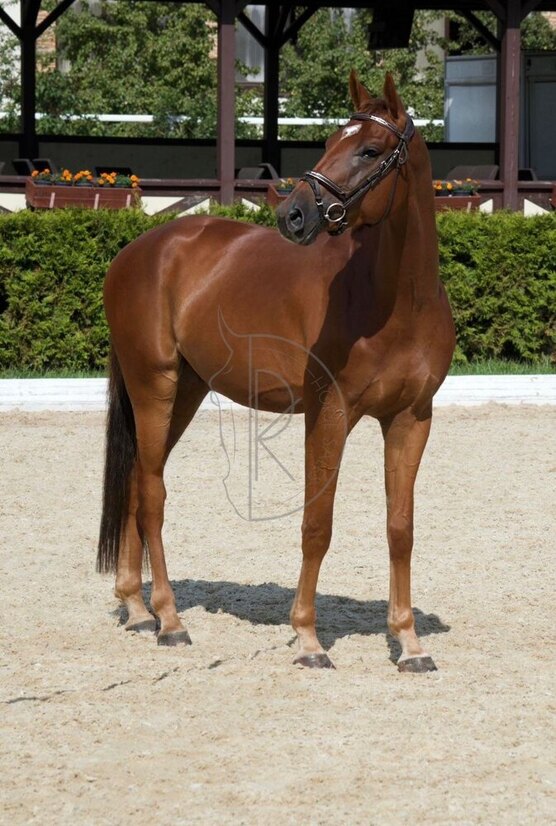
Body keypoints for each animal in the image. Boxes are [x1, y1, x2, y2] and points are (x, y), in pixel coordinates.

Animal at [98, 71, 455, 672]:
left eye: (369, 150)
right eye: (330, 140)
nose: (294, 215)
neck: (397, 301)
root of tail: (137, 251)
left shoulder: (411, 418)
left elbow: (400, 529)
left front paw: (408, 644)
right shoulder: (329, 413)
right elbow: (317, 524)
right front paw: (308, 639)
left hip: (186, 391)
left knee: (136, 480)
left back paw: (138, 609)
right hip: (154, 386)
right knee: (151, 493)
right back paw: (169, 621)